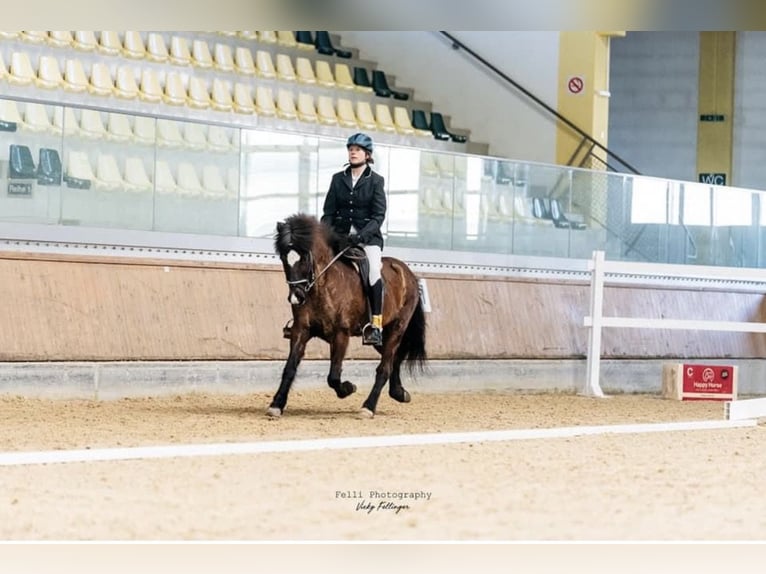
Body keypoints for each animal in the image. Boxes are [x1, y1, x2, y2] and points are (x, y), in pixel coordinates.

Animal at [271, 213, 427, 418]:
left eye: (304, 258)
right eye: (283, 258)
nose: (296, 297)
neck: (322, 286)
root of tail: (407, 272)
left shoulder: (341, 334)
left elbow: (333, 376)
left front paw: (348, 388)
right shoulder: (300, 330)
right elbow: (289, 368)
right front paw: (277, 404)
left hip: (397, 328)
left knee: (384, 367)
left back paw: (368, 407)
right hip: (382, 336)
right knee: (394, 358)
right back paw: (399, 393)